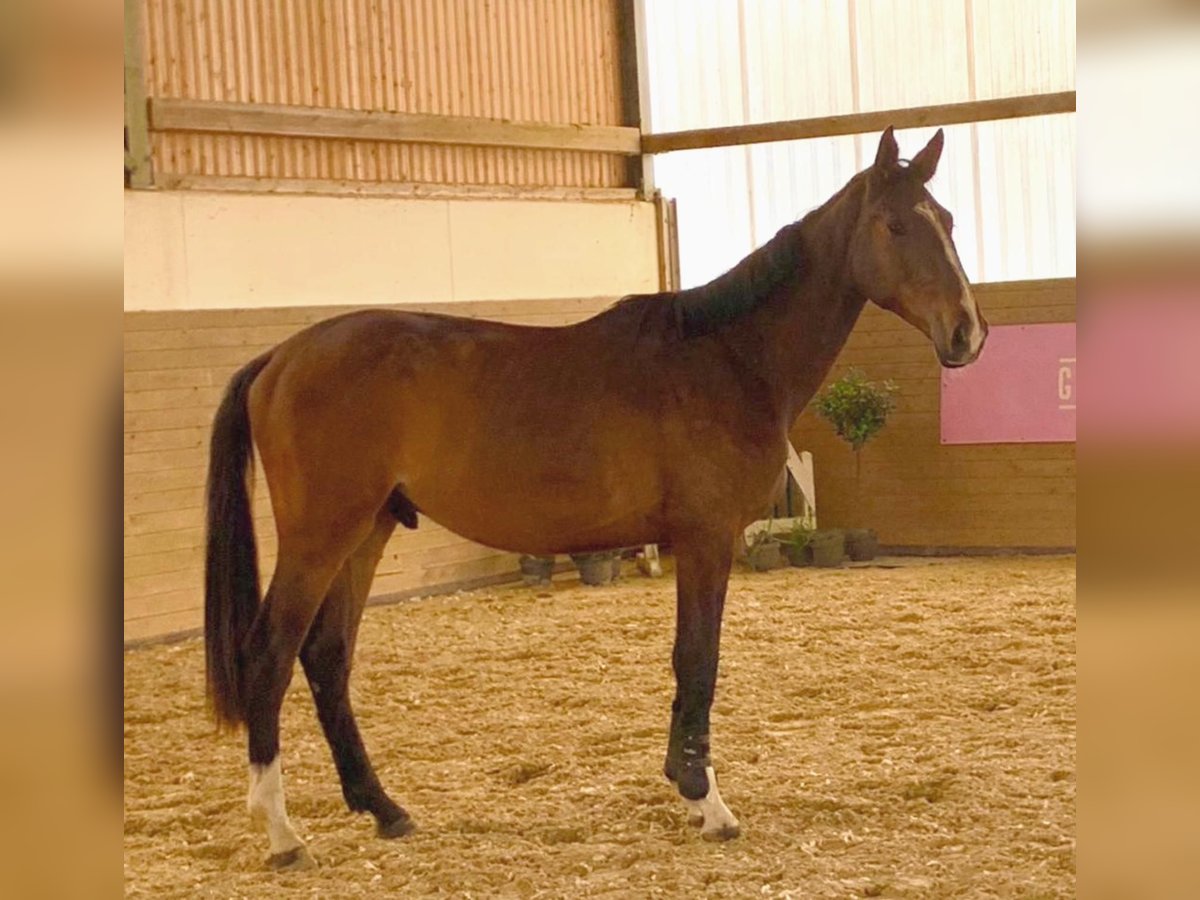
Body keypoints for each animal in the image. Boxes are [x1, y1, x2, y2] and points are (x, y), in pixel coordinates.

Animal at [204, 130, 984, 868]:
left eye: (945, 218)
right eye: (895, 225)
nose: (967, 331)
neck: (727, 355)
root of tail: (280, 359)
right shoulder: (706, 538)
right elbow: (697, 659)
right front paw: (706, 801)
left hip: (367, 532)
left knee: (327, 657)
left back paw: (384, 808)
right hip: (321, 537)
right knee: (270, 656)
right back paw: (282, 834)